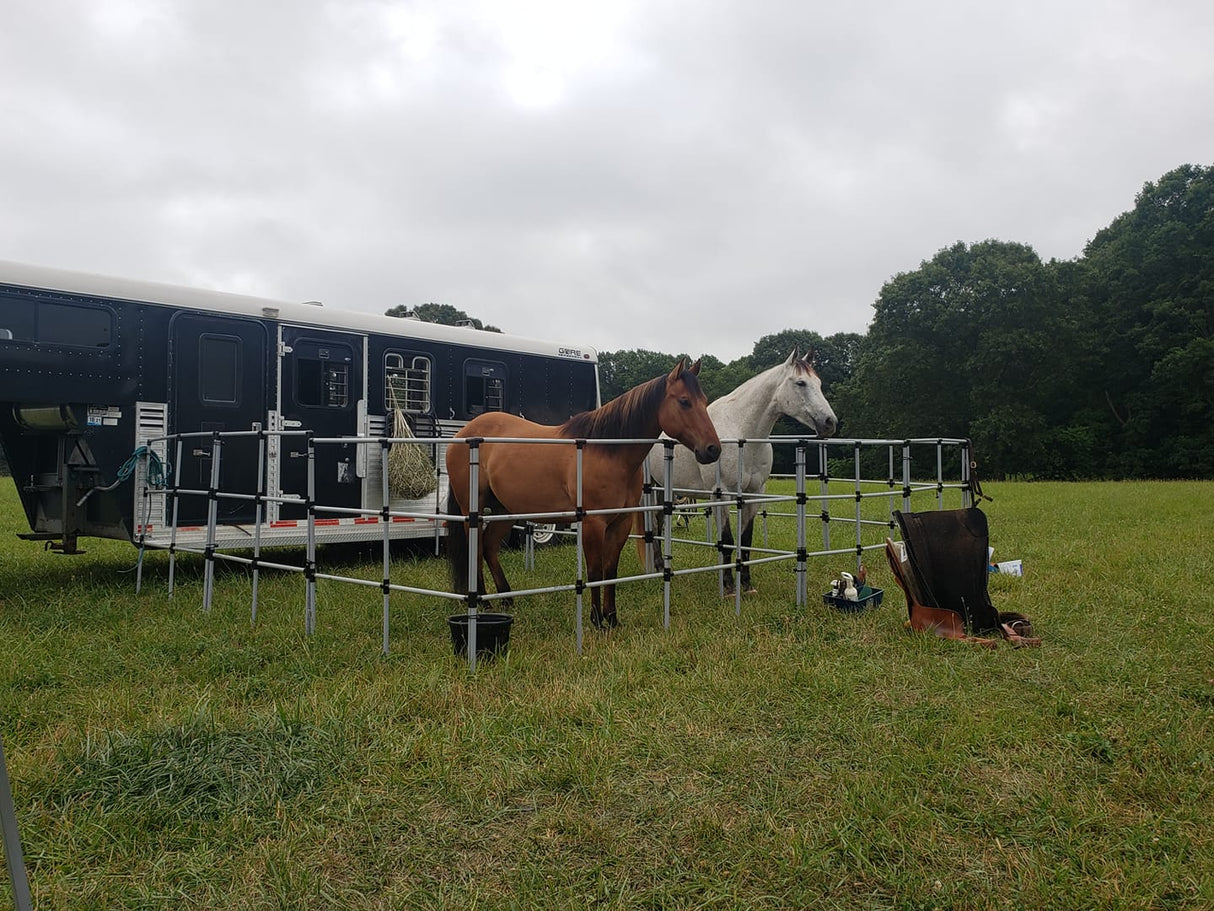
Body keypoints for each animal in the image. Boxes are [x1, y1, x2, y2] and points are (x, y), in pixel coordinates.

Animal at [446, 358, 721, 629]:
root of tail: (462, 436)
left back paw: (506, 598)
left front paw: (612, 619)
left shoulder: (620, 523)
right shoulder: (593, 524)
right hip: (473, 509)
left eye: (704, 401)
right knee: (475, 549)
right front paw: (597, 619)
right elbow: (595, 572)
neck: (608, 451)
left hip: (505, 510)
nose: (713, 449)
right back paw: (484, 603)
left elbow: (610, 571)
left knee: (489, 547)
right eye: (684, 401)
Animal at [635, 347, 837, 593]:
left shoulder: (753, 494)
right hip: (649, 489)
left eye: (819, 383)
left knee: (659, 523)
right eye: (800, 383)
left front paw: (747, 584)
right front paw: (729, 586)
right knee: (653, 524)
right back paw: (655, 569)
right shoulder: (721, 494)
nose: (829, 422)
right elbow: (727, 540)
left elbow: (746, 540)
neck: (742, 432)